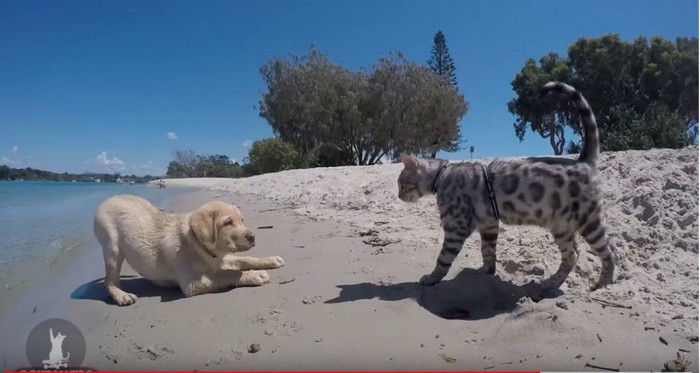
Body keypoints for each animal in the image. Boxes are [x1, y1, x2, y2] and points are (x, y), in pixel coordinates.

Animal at [93, 195, 284, 306]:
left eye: (242, 220)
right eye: (228, 223)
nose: (253, 237)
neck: (198, 245)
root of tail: (110, 198)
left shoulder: (220, 259)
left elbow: (244, 259)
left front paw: (270, 260)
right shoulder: (191, 283)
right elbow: (227, 274)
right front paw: (254, 274)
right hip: (112, 248)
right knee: (109, 281)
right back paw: (121, 295)